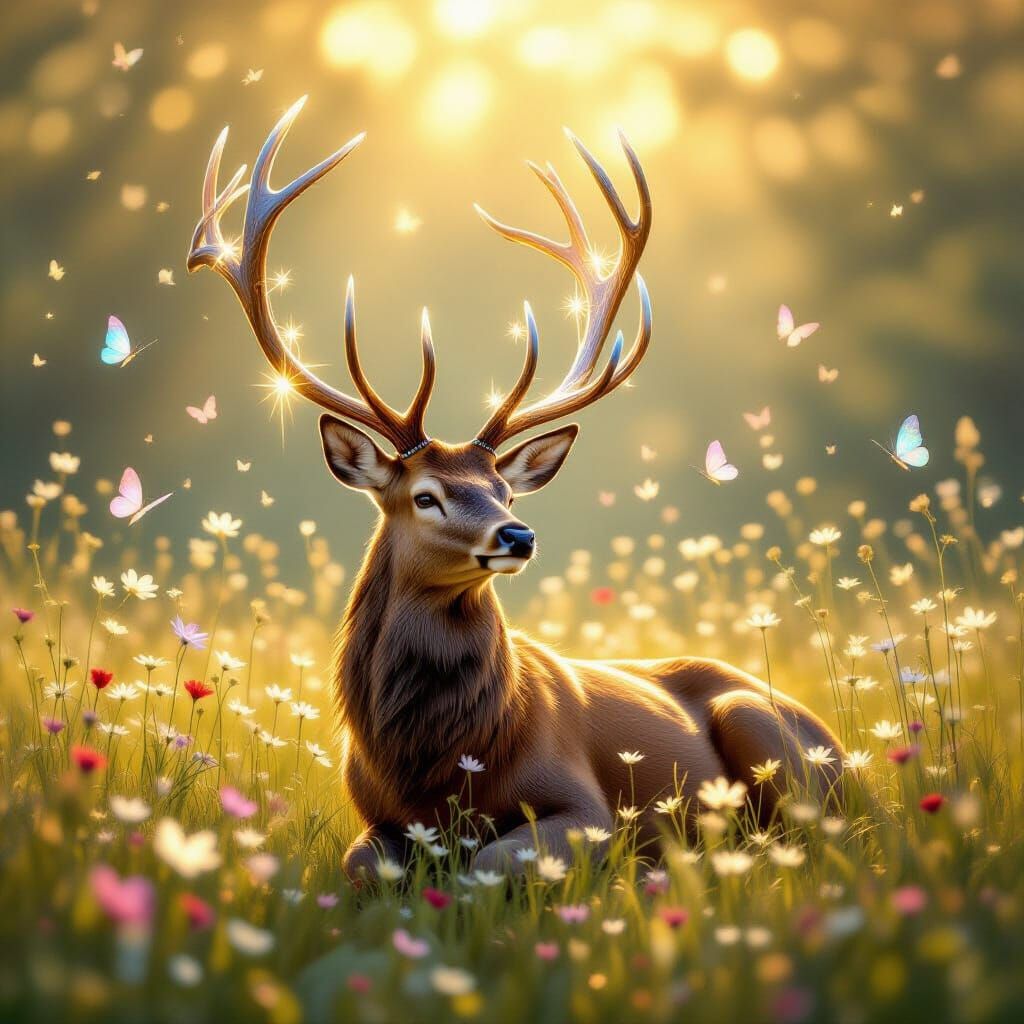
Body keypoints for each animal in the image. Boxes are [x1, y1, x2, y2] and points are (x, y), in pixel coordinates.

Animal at [187, 98, 844, 878]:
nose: (518, 535)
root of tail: (851, 758)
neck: (434, 771)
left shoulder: (586, 806)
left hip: (765, 732)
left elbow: (486, 866)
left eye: (506, 490)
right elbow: (359, 864)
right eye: (426, 495)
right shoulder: (371, 815)